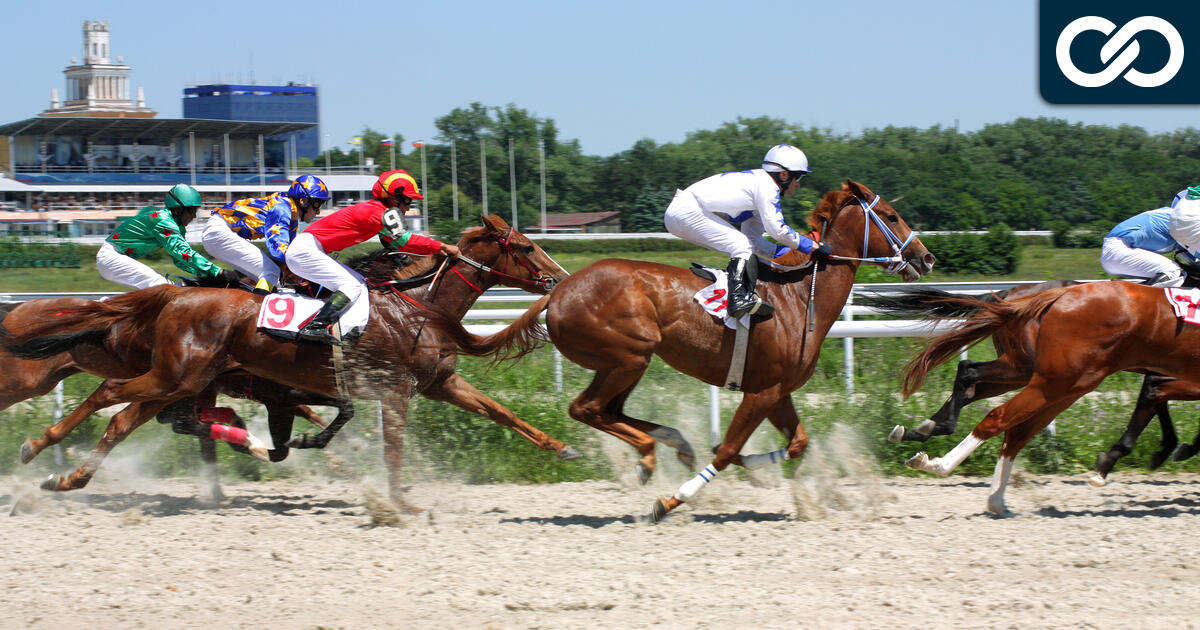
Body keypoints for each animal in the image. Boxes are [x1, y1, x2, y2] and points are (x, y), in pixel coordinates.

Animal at [0, 214, 573, 510]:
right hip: (171, 375)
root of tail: (173, 296)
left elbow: (501, 412)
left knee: (122, 417)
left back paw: (67, 477)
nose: (560, 279)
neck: (414, 307)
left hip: (178, 379)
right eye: (526, 247)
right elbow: (388, 448)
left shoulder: (438, 383)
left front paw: (563, 448)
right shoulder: (387, 390)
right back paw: (39, 450)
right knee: (110, 397)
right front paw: (398, 503)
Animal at [417, 181, 936, 521]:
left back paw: (671, 445)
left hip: (626, 363)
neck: (795, 298)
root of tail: (558, 291)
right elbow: (728, 451)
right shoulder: (762, 391)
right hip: (630, 355)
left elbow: (795, 444)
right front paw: (672, 500)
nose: (925, 257)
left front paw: (741, 464)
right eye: (891, 216)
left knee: (609, 411)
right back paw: (650, 456)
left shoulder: (778, 391)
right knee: (587, 408)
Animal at [887, 280, 1200, 515]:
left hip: (1060, 382)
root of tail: (1054, 294)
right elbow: (1154, 396)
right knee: (997, 414)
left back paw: (994, 499)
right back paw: (938, 463)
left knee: (1012, 426)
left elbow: (1154, 396)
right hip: (1051, 379)